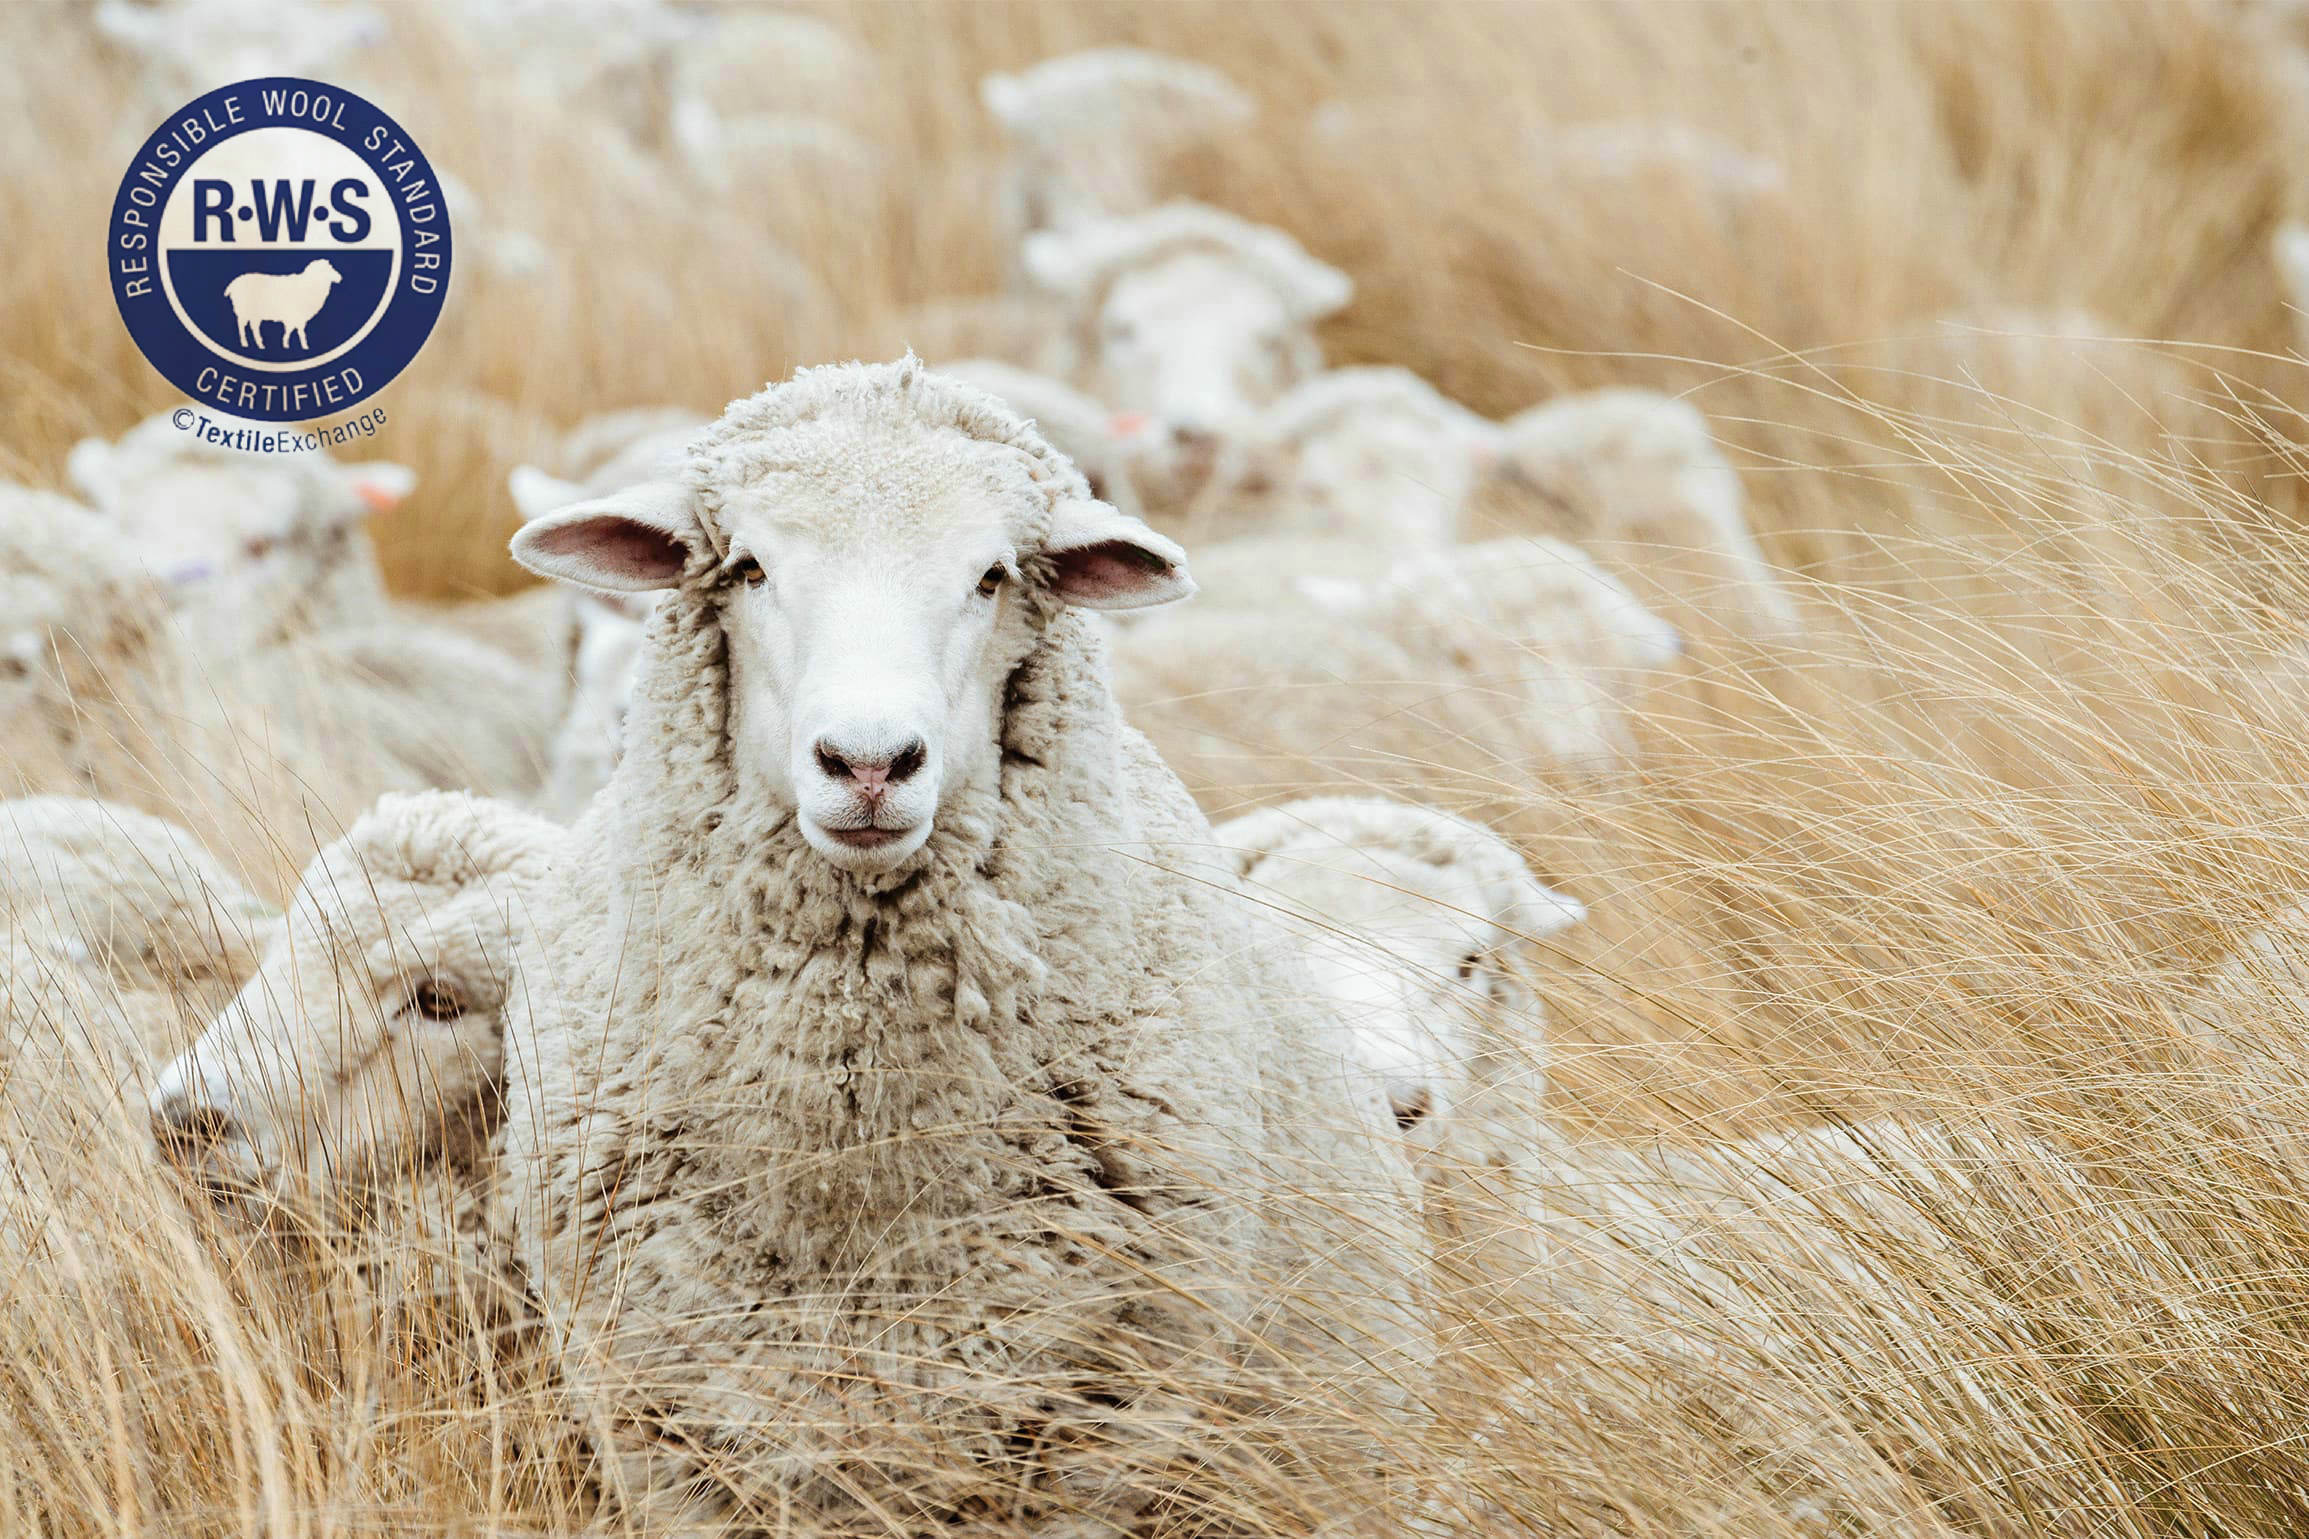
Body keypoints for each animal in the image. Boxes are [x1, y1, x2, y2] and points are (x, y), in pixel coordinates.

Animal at [497, 356, 1429, 1534]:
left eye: (991, 576)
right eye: (749, 567)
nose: (868, 762)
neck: (854, 1160)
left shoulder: (1099, 1435)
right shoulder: (665, 1431)